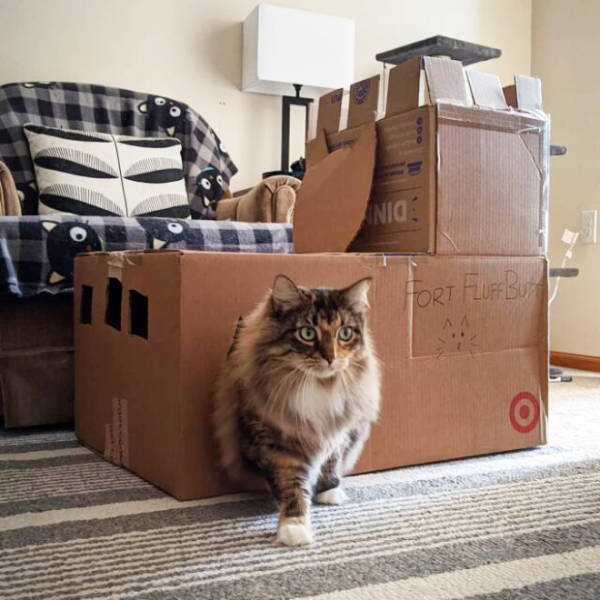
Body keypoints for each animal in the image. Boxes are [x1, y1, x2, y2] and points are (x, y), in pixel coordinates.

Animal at [211, 274, 380, 548]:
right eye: (307, 333)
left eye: (344, 333)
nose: (331, 357)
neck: (319, 387)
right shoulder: (278, 444)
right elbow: (292, 486)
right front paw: (294, 528)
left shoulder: (340, 432)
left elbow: (331, 462)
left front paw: (330, 491)